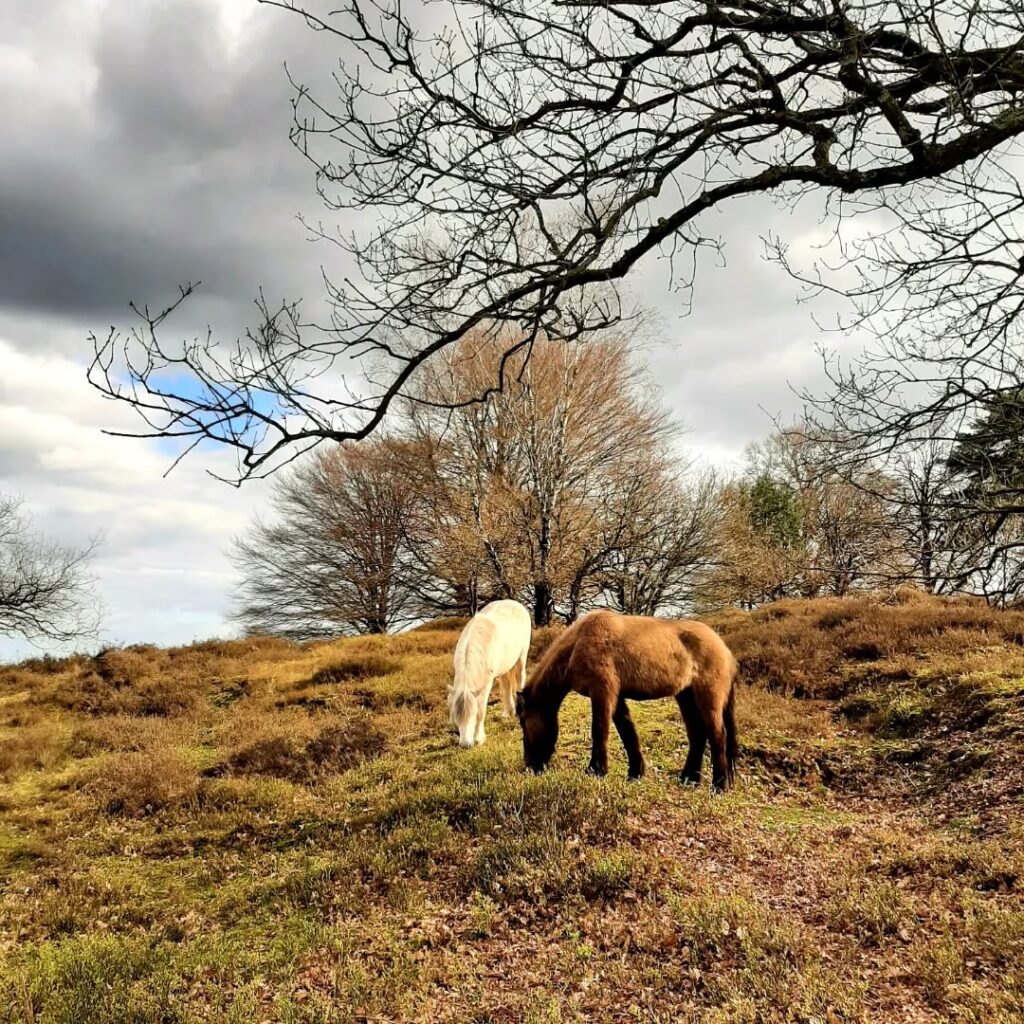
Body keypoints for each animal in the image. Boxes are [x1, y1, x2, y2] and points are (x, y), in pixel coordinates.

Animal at [448, 599, 532, 748]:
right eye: (456, 716)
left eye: (472, 715)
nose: (465, 745)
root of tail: (516, 603)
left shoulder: (486, 683)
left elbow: (482, 710)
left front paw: (479, 738)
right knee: (506, 686)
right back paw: (508, 712)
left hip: (521, 657)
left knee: (519, 680)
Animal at [515, 610, 738, 790]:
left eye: (523, 722)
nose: (530, 765)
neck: (579, 641)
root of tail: (725, 650)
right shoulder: (617, 697)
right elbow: (627, 732)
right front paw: (635, 772)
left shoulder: (602, 693)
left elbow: (600, 730)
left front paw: (596, 770)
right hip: (686, 697)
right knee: (698, 735)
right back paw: (689, 779)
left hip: (708, 698)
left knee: (718, 736)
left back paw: (719, 785)